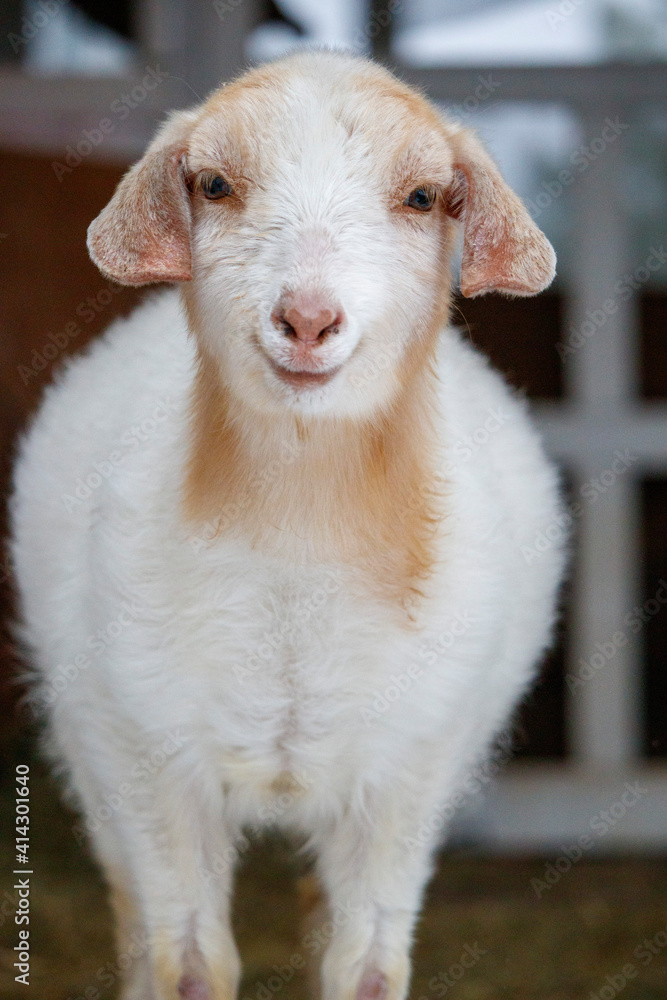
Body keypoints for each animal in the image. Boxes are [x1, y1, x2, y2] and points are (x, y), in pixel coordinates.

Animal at [10, 49, 565, 1000]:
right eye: (214, 184)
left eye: (423, 196)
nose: (307, 319)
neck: (298, 544)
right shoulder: (150, 764)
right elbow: (189, 963)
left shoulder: (406, 777)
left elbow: (367, 965)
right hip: (94, 745)